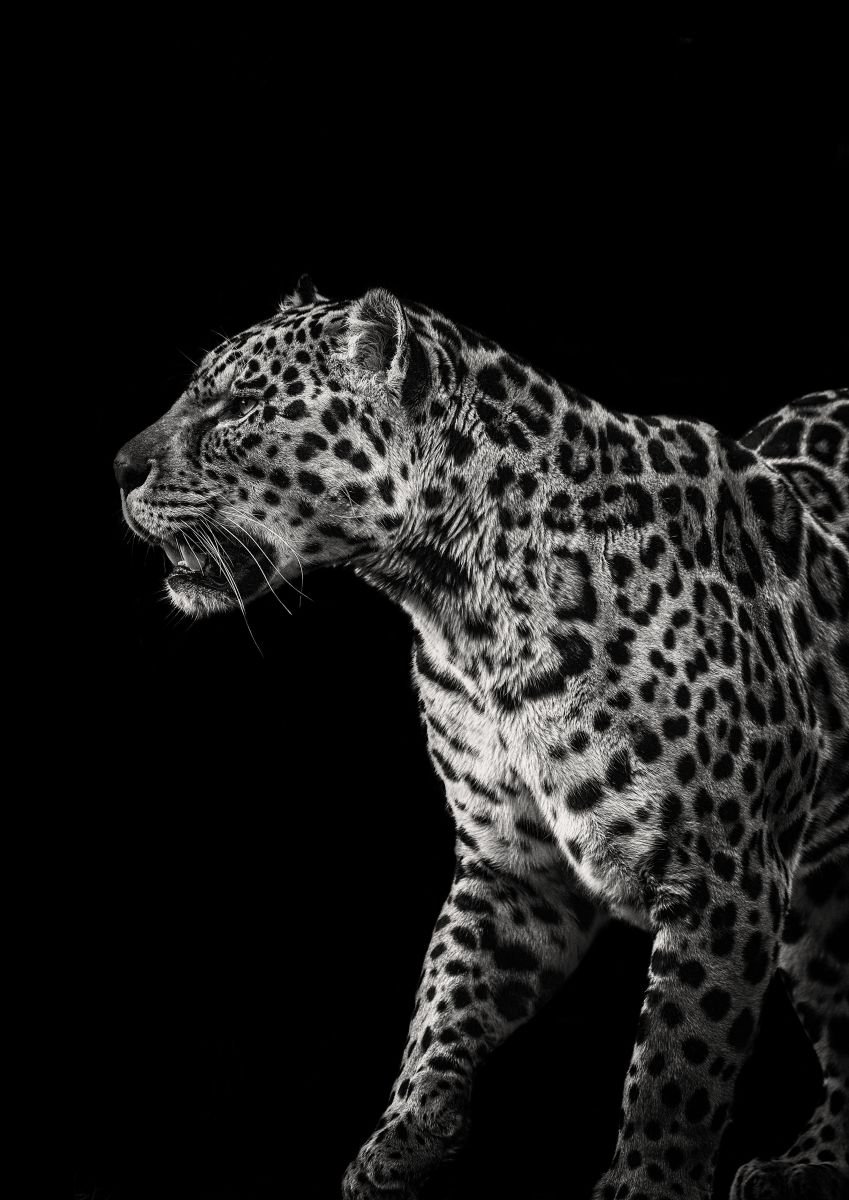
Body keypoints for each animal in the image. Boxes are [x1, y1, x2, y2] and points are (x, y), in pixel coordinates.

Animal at [115, 277, 849, 1199]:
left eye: (238, 406)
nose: (119, 469)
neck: (460, 604)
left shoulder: (721, 872)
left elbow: (677, 1064)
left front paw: (646, 1179)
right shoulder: (511, 860)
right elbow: (445, 995)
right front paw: (402, 1140)